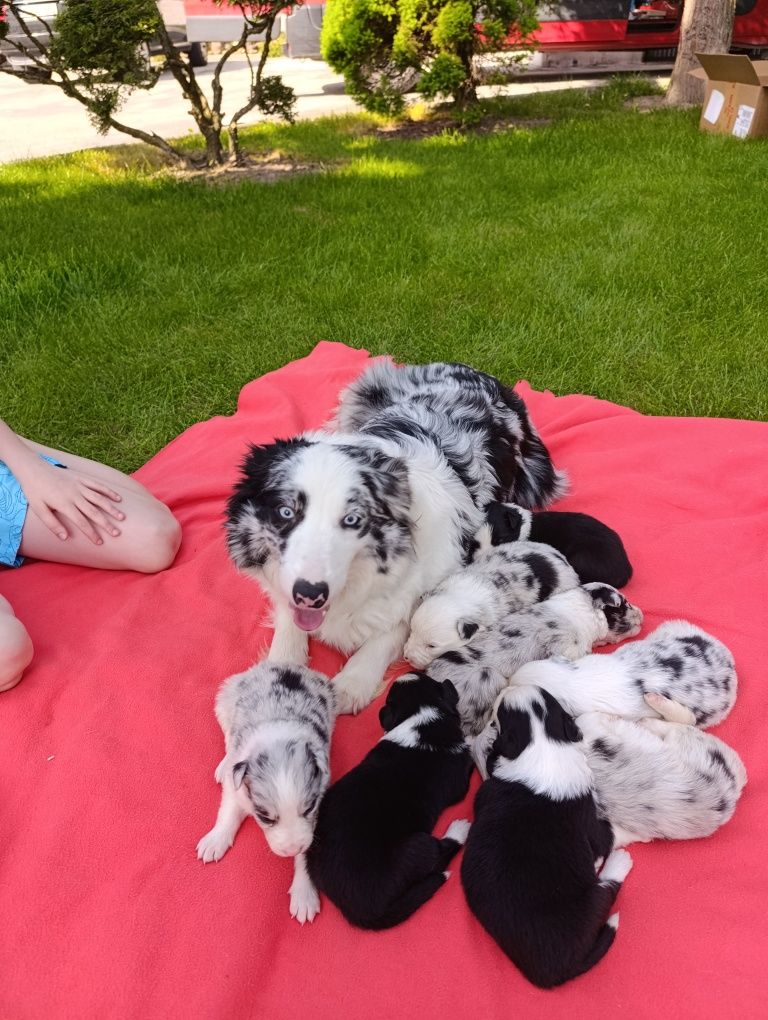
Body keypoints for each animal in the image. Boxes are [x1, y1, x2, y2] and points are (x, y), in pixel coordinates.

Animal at [195, 660, 334, 926]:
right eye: (265, 817)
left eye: (308, 807)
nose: (291, 850)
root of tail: (282, 663)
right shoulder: (237, 785)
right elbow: (228, 812)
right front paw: (215, 840)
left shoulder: (318, 801)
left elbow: (307, 849)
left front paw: (303, 894)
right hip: (225, 700)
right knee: (227, 736)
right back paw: (223, 765)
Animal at [305, 673, 473, 930]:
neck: (421, 713)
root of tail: (360, 911)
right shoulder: (460, 779)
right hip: (417, 847)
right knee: (436, 857)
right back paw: (459, 829)